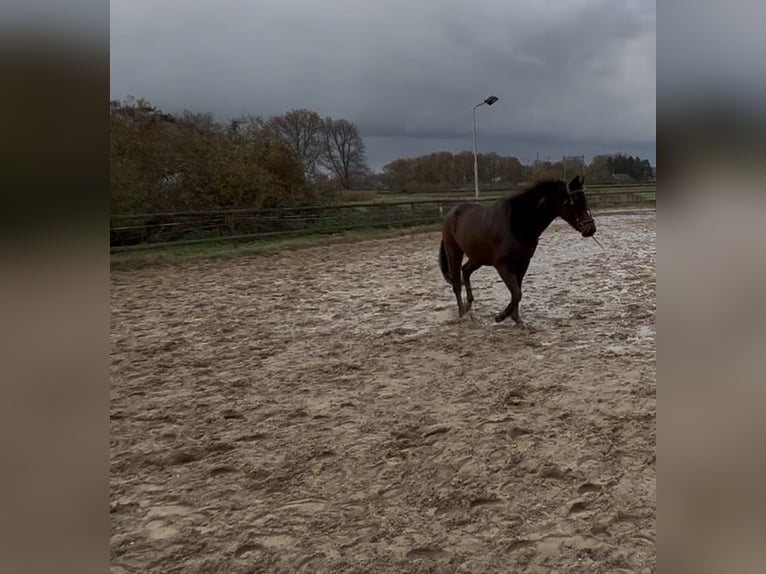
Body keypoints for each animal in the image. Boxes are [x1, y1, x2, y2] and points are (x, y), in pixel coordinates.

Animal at [438, 174, 596, 325]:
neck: (517, 224)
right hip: (454, 253)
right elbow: (516, 292)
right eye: (575, 201)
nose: (591, 229)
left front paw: (510, 317)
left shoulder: (523, 262)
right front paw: (504, 317)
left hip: (478, 257)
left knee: (466, 270)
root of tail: (450, 214)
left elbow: (517, 292)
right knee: (457, 284)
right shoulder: (502, 265)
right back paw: (462, 313)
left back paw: (468, 305)